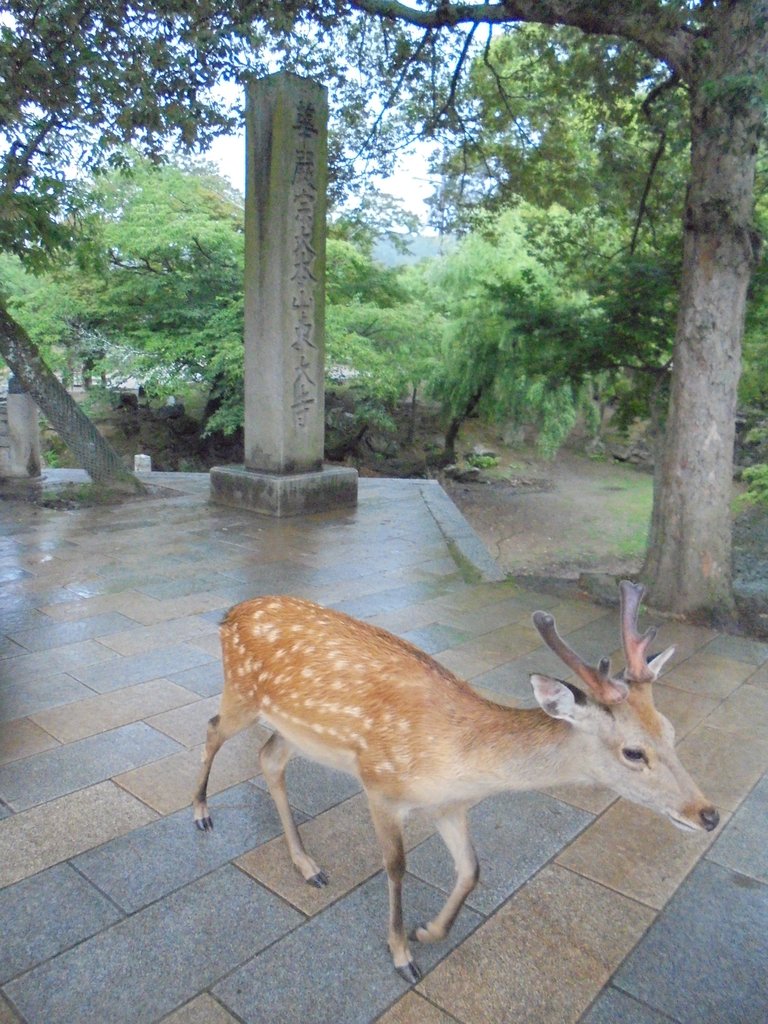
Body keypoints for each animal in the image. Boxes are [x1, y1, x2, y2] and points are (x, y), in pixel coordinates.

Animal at [193, 581, 720, 978]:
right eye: (633, 752)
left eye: (671, 731)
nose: (708, 814)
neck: (457, 764)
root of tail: (228, 615)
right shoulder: (380, 785)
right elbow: (397, 867)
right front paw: (402, 953)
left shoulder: (451, 806)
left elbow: (471, 870)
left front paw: (428, 931)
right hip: (241, 691)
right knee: (214, 728)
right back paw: (201, 812)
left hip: (294, 730)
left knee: (268, 758)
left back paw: (307, 865)